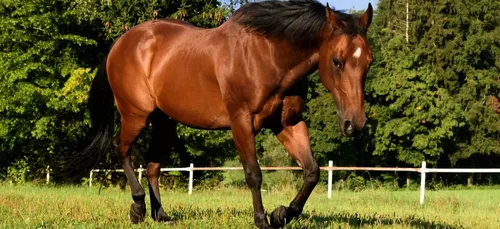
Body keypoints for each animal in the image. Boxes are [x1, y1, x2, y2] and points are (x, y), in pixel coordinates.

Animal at [76, 0, 374, 228]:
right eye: (337, 61)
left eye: (369, 62)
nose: (355, 124)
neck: (269, 56)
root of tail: (120, 44)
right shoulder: (241, 121)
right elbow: (253, 173)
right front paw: (261, 219)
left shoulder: (288, 123)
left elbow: (312, 171)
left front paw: (281, 215)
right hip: (136, 115)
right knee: (121, 148)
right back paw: (137, 208)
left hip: (165, 122)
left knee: (152, 165)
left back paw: (161, 215)